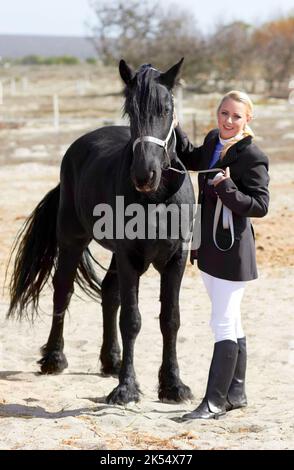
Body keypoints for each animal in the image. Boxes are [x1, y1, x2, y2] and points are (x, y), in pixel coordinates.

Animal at [8, 57, 195, 404]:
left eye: (166, 108)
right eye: (130, 110)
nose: (144, 175)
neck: (158, 199)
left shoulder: (175, 259)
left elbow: (170, 319)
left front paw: (173, 385)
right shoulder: (129, 257)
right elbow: (132, 320)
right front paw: (126, 389)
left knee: (109, 292)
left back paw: (112, 361)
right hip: (73, 241)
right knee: (63, 291)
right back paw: (54, 358)